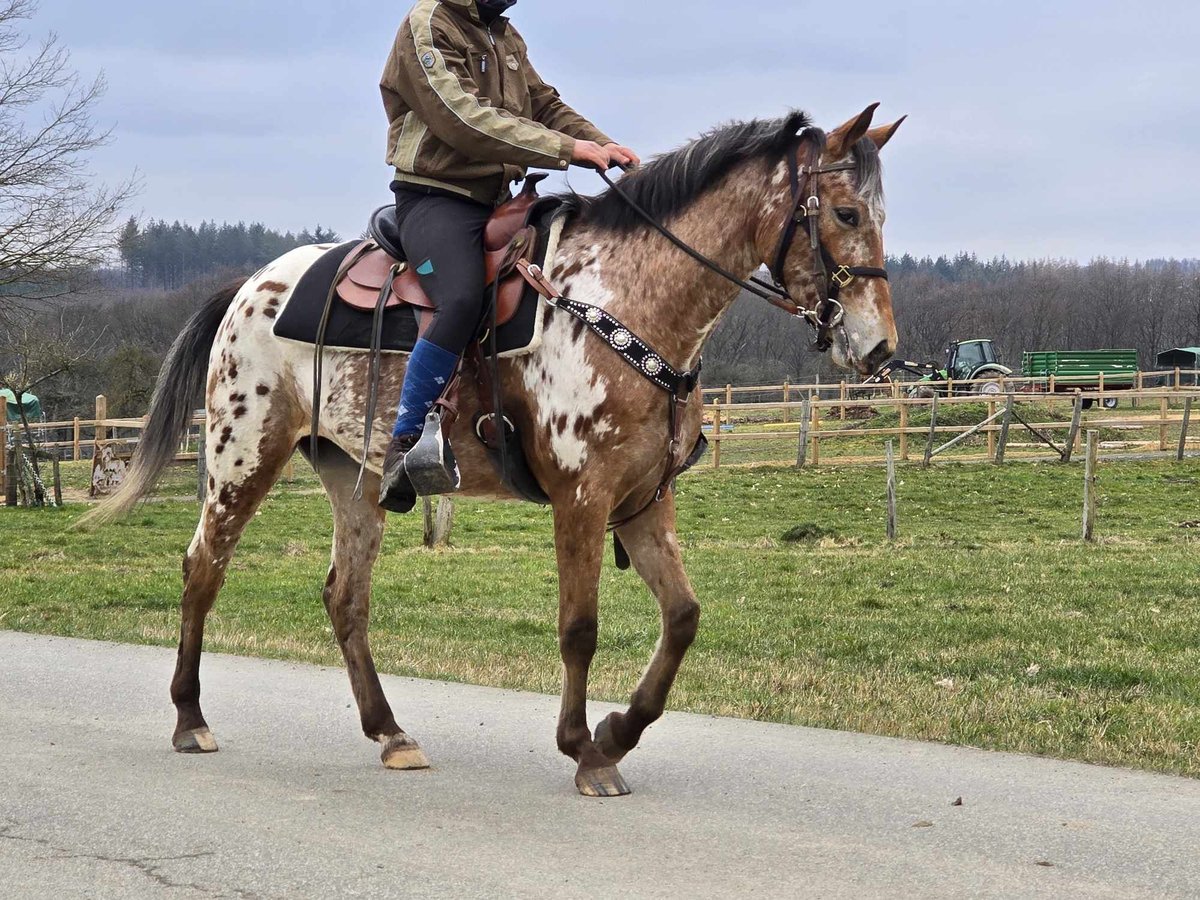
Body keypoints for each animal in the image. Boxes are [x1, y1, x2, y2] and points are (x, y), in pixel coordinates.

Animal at [93, 103, 902, 796]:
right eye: (847, 212)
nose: (878, 347)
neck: (624, 300)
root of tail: (249, 285)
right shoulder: (582, 499)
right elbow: (579, 628)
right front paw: (585, 751)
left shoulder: (645, 500)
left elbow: (682, 618)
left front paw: (617, 730)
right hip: (243, 455)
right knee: (203, 568)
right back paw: (191, 719)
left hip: (354, 478)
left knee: (345, 597)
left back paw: (390, 733)